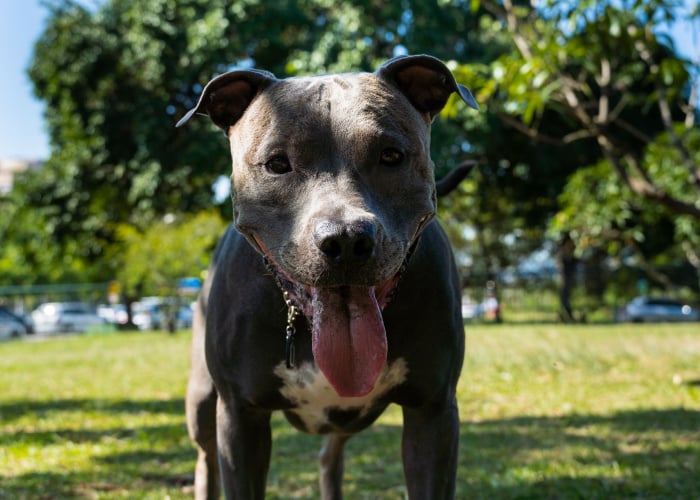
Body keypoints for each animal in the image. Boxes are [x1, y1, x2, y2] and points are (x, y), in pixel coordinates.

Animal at [178, 52, 478, 498]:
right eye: (277, 164)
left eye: (391, 155)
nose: (347, 239)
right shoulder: (240, 415)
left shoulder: (433, 411)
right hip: (202, 402)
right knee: (206, 459)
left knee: (329, 457)